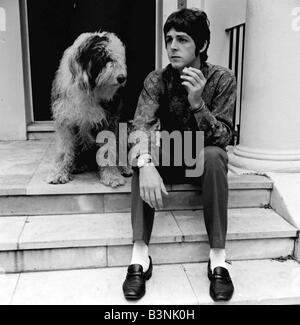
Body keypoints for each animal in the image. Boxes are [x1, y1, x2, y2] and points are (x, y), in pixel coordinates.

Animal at [47, 32, 131, 187]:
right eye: (105, 57)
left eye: (119, 58)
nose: (122, 78)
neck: (88, 92)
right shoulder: (65, 121)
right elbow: (64, 150)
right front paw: (59, 173)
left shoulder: (109, 121)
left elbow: (108, 150)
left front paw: (112, 176)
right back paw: (77, 166)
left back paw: (124, 167)